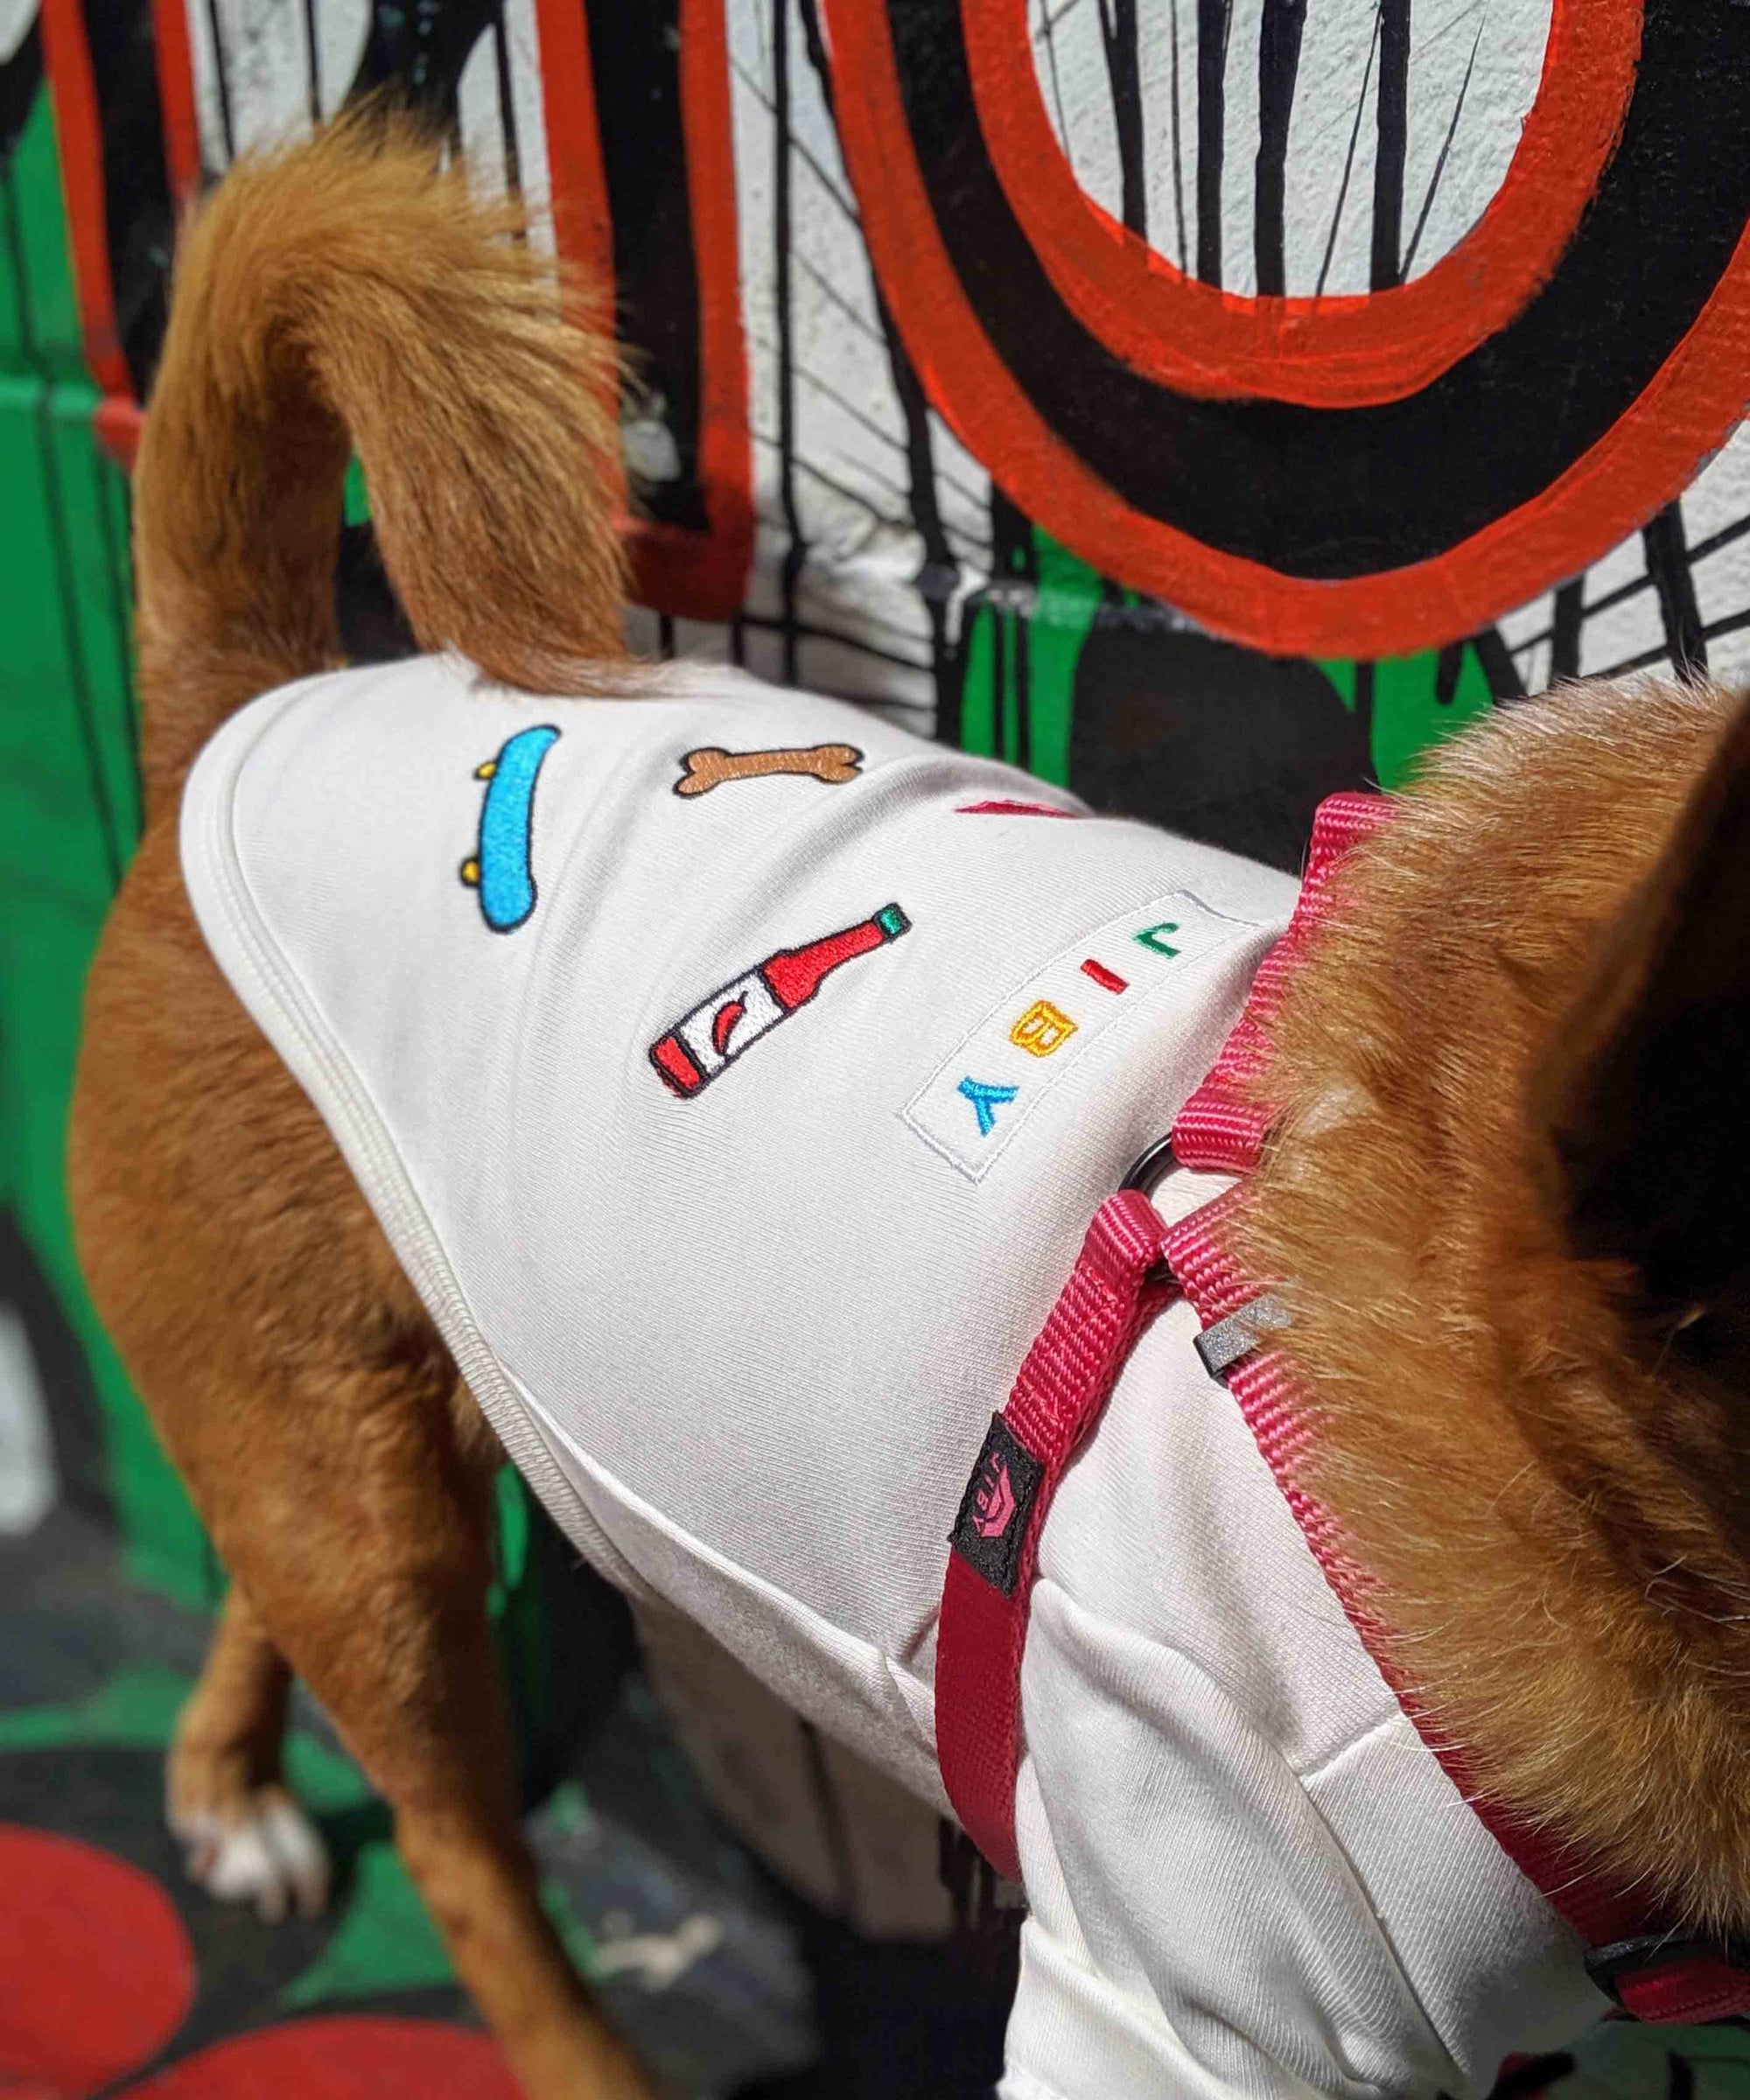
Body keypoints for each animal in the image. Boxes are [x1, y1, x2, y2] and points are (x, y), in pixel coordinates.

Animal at [74, 110, 1750, 2100]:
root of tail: (249, 704)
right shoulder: (1184, 2007)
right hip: (375, 1524)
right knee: (457, 1841)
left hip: (347, 1422)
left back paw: (225, 1780)